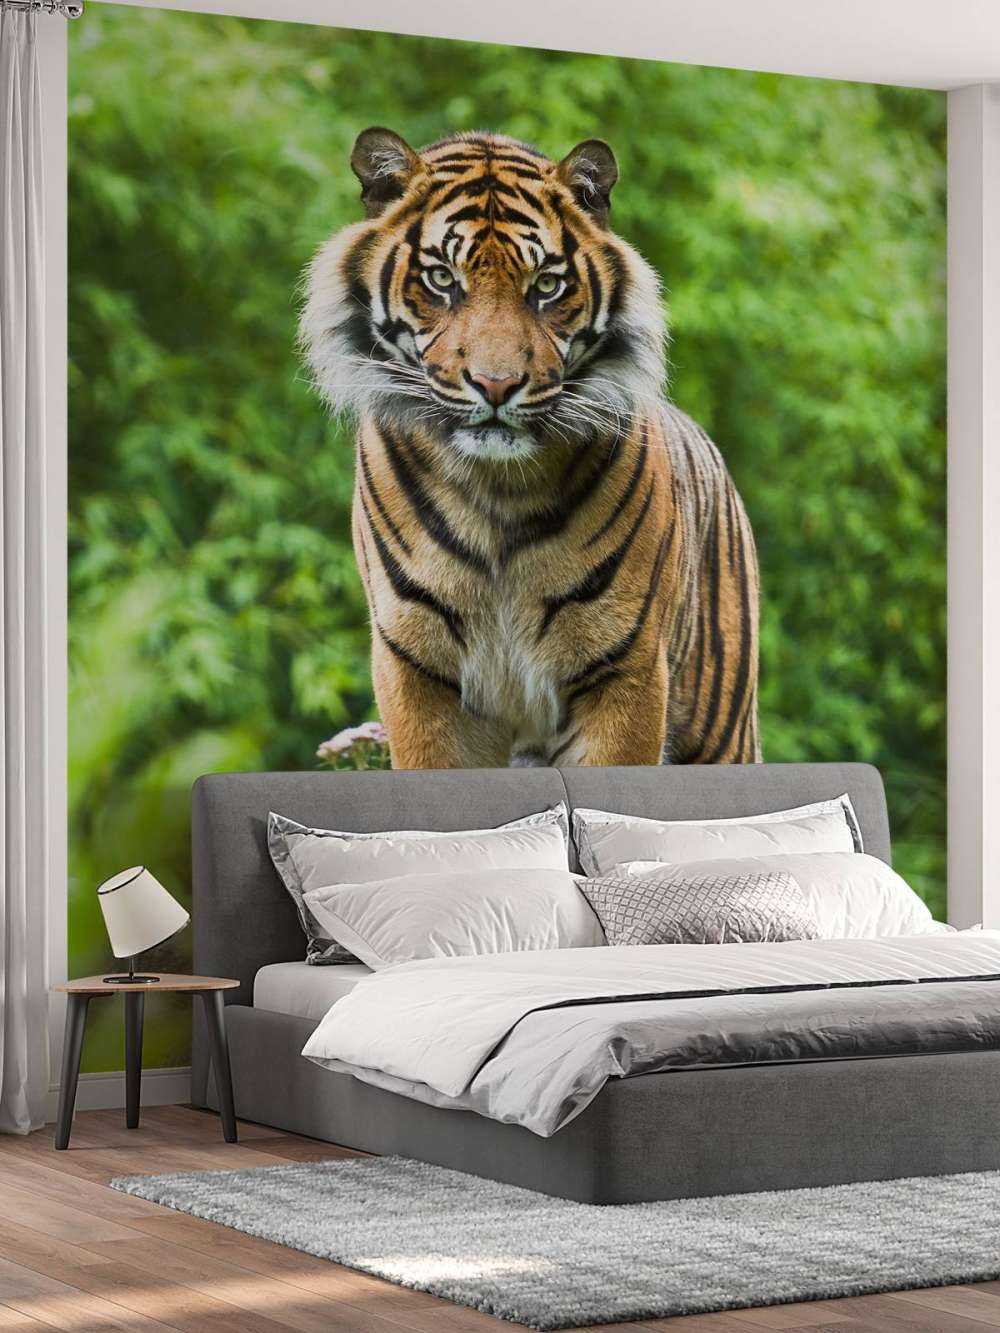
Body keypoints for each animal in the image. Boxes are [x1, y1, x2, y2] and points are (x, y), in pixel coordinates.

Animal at [300, 127, 761, 769]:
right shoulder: (417, 672)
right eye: (442, 279)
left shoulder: (625, 674)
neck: (497, 491)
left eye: (546, 286)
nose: (496, 386)